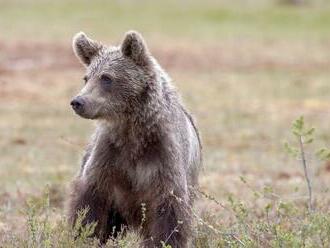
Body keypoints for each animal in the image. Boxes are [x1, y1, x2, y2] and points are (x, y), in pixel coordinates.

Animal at [67, 31, 201, 248]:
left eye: (106, 77)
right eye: (86, 77)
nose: (78, 101)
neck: (134, 132)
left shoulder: (163, 157)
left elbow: (169, 215)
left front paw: (166, 241)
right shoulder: (109, 156)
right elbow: (89, 205)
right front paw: (84, 235)